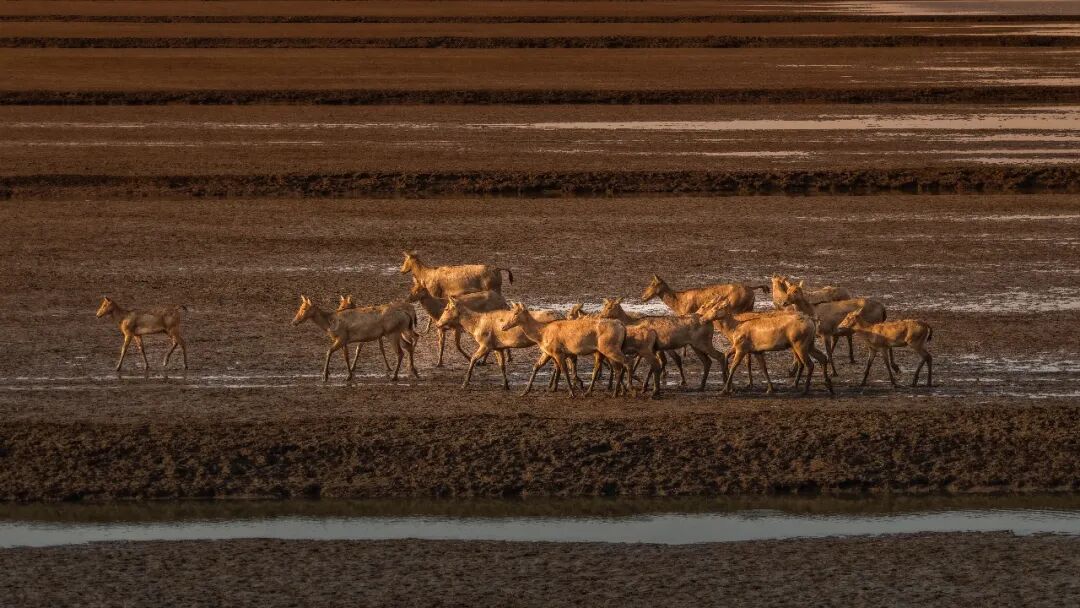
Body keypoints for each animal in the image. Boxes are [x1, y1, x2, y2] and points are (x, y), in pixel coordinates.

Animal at [501, 302, 634, 398]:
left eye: (516, 313)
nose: (503, 327)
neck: (541, 334)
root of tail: (622, 326)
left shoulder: (557, 352)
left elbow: (564, 370)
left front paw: (571, 393)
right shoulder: (547, 352)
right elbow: (536, 367)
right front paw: (524, 391)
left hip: (610, 347)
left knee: (627, 362)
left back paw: (629, 389)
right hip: (605, 350)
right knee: (612, 368)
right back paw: (607, 392)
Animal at [598, 297, 728, 391]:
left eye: (610, 306)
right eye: (604, 305)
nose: (600, 315)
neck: (633, 322)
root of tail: (710, 322)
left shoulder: (649, 347)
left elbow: (654, 364)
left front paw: (645, 386)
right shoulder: (655, 348)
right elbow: (655, 365)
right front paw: (647, 385)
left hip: (703, 342)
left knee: (720, 355)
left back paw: (724, 383)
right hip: (695, 345)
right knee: (707, 361)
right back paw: (701, 386)